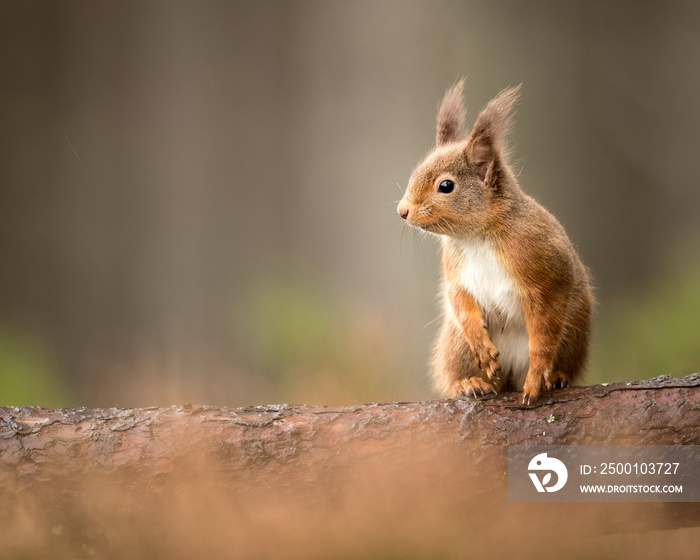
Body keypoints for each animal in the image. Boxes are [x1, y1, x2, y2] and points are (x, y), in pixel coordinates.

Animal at [400, 81, 592, 404]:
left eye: (446, 186)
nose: (402, 211)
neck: (478, 236)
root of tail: (510, 377)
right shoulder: (456, 272)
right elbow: (461, 303)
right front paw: (481, 349)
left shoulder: (545, 274)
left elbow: (544, 331)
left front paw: (538, 376)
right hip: (456, 345)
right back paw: (468, 383)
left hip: (575, 331)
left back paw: (556, 377)